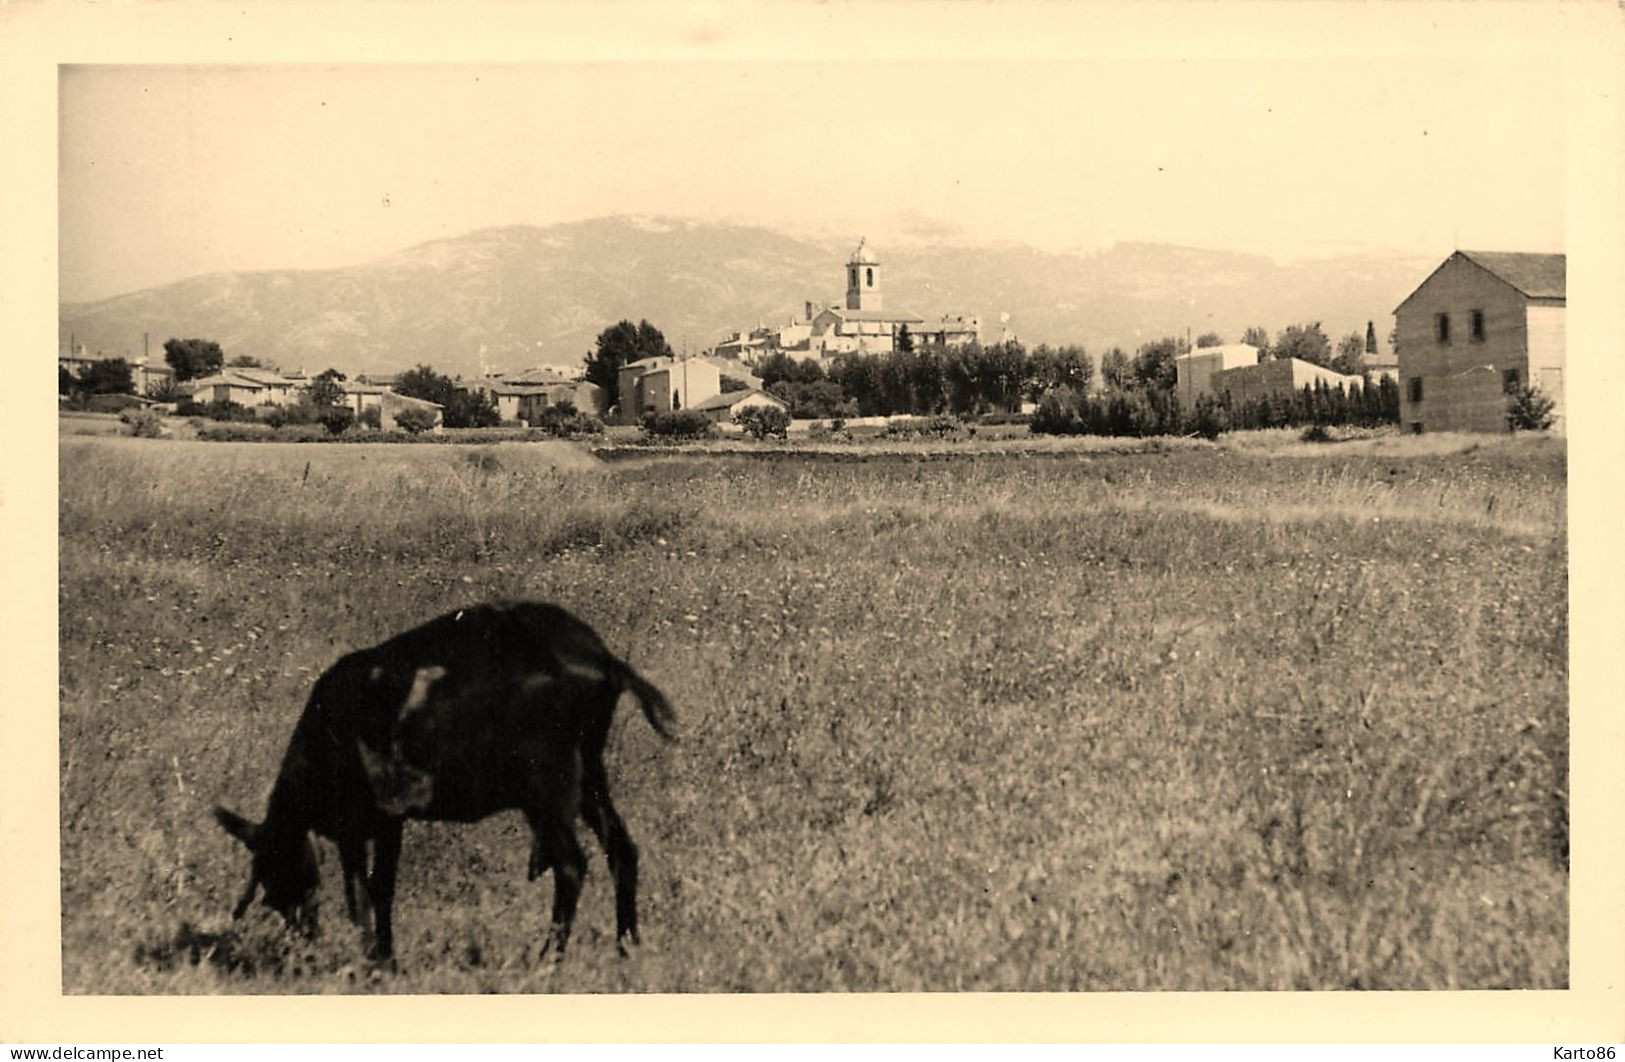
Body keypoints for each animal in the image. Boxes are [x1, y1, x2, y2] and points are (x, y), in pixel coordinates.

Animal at [214, 607, 672, 967]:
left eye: (275, 888)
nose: (304, 947)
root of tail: (603, 660)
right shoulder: (386, 820)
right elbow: (380, 888)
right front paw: (384, 960)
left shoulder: (360, 818)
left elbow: (361, 892)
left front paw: (371, 963)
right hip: (588, 771)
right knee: (622, 850)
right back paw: (627, 950)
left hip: (546, 779)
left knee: (572, 865)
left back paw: (549, 962)